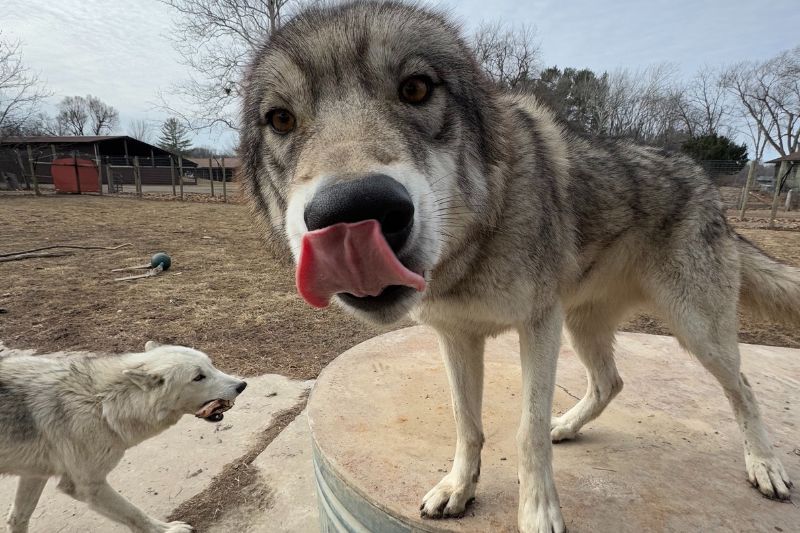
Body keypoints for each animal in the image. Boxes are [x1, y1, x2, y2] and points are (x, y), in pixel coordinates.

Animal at [1, 342, 247, 533]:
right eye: (198, 377)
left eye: (211, 365)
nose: (242, 385)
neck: (101, 404)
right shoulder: (87, 486)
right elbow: (134, 513)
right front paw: (167, 529)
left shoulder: (34, 474)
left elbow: (17, 518)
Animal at [240, 2, 798, 530]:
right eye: (281, 119)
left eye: (416, 88)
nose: (353, 212)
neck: (480, 239)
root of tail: (706, 183)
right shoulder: (456, 337)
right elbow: (467, 424)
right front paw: (458, 488)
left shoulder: (539, 327)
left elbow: (527, 432)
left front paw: (537, 513)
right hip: (584, 325)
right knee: (610, 382)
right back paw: (567, 426)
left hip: (694, 330)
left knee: (742, 387)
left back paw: (765, 466)